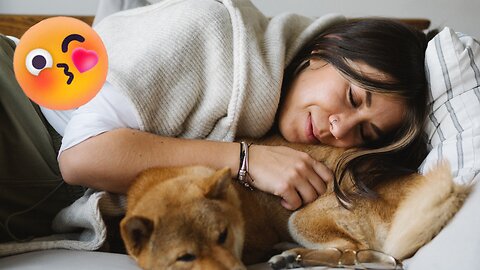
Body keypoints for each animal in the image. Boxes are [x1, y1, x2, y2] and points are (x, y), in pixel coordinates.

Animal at [119, 136, 468, 268]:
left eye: (223, 236)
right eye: (185, 257)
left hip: (300, 219)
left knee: (350, 253)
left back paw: (291, 256)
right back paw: (289, 255)